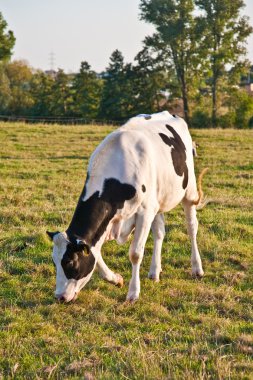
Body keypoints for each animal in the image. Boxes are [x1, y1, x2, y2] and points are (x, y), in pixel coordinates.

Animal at [46, 110, 207, 302]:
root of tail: (170, 114)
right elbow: (96, 254)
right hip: (157, 202)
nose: (59, 296)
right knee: (160, 232)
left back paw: (197, 268)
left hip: (188, 192)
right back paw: (154, 271)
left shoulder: (144, 212)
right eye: (54, 261)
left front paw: (133, 293)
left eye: (70, 262)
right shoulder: (109, 223)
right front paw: (116, 279)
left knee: (192, 228)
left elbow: (135, 253)